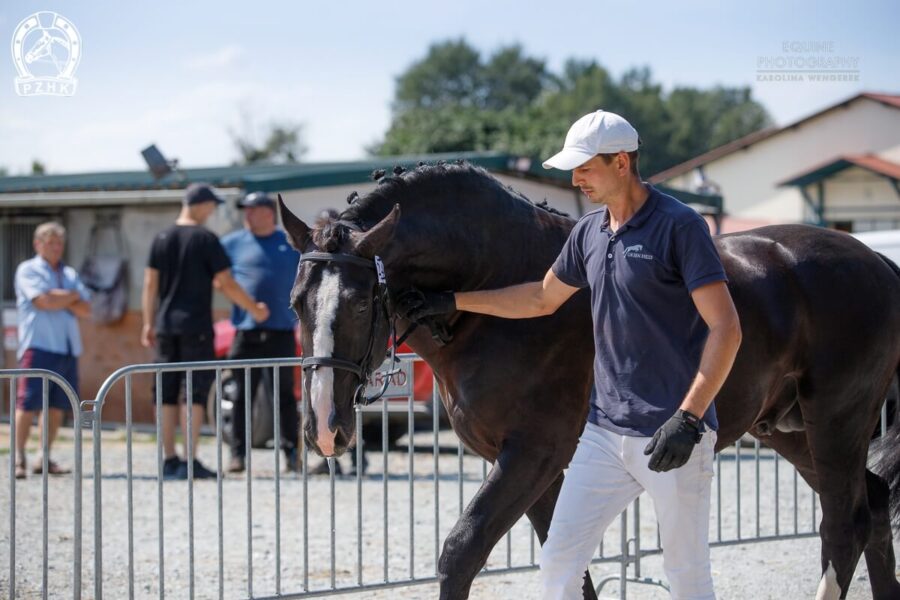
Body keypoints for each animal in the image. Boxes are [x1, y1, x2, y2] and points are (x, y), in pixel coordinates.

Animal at [280, 163, 900, 600]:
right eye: (296, 303)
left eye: (363, 304)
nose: (325, 428)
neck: (500, 288)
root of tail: (877, 261)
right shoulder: (540, 468)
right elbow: (568, 567)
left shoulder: (533, 453)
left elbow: (461, 553)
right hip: (788, 430)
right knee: (872, 505)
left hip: (837, 421)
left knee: (845, 524)